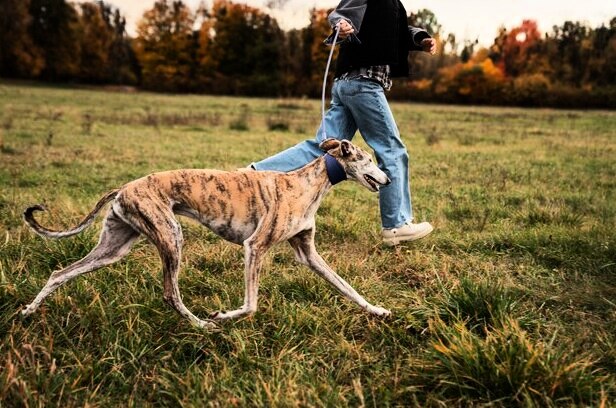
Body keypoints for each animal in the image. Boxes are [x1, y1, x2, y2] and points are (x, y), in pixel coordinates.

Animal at [21, 139, 392, 326]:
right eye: (369, 159)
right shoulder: (255, 246)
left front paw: (378, 310)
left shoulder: (309, 253)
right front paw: (223, 314)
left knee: (60, 273)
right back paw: (201, 324)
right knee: (170, 294)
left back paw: (28, 311)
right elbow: (251, 305)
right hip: (171, 237)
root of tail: (123, 188)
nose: (388, 179)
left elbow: (346, 287)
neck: (306, 184)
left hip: (114, 247)